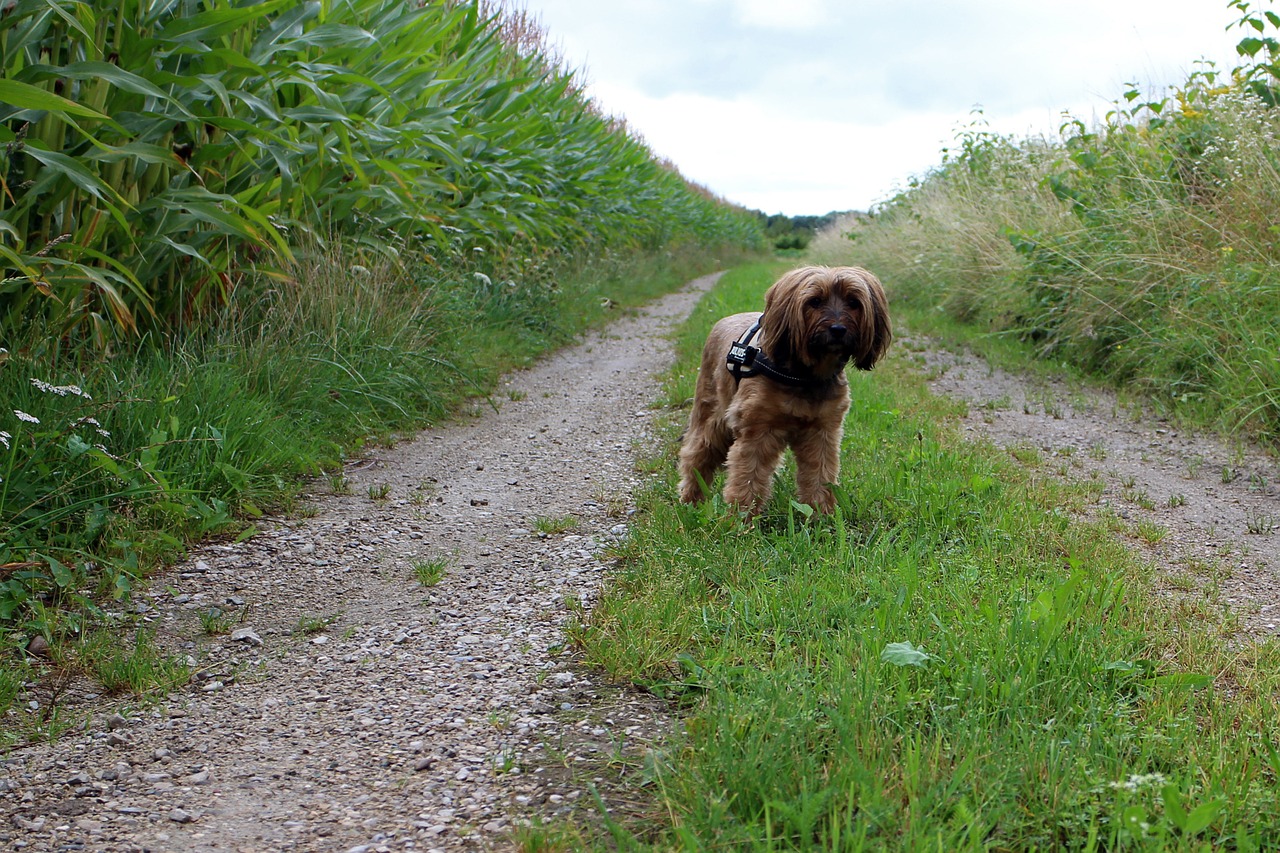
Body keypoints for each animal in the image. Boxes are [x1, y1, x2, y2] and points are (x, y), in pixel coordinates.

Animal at [680, 266, 890, 514]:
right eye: (814, 301)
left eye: (853, 302)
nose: (838, 329)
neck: (805, 375)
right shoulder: (756, 431)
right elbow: (747, 478)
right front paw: (741, 517)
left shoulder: (823, 432)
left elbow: (820, 475)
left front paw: (821, 514)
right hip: (712, 415)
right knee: (696, 454)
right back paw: (691, 499)